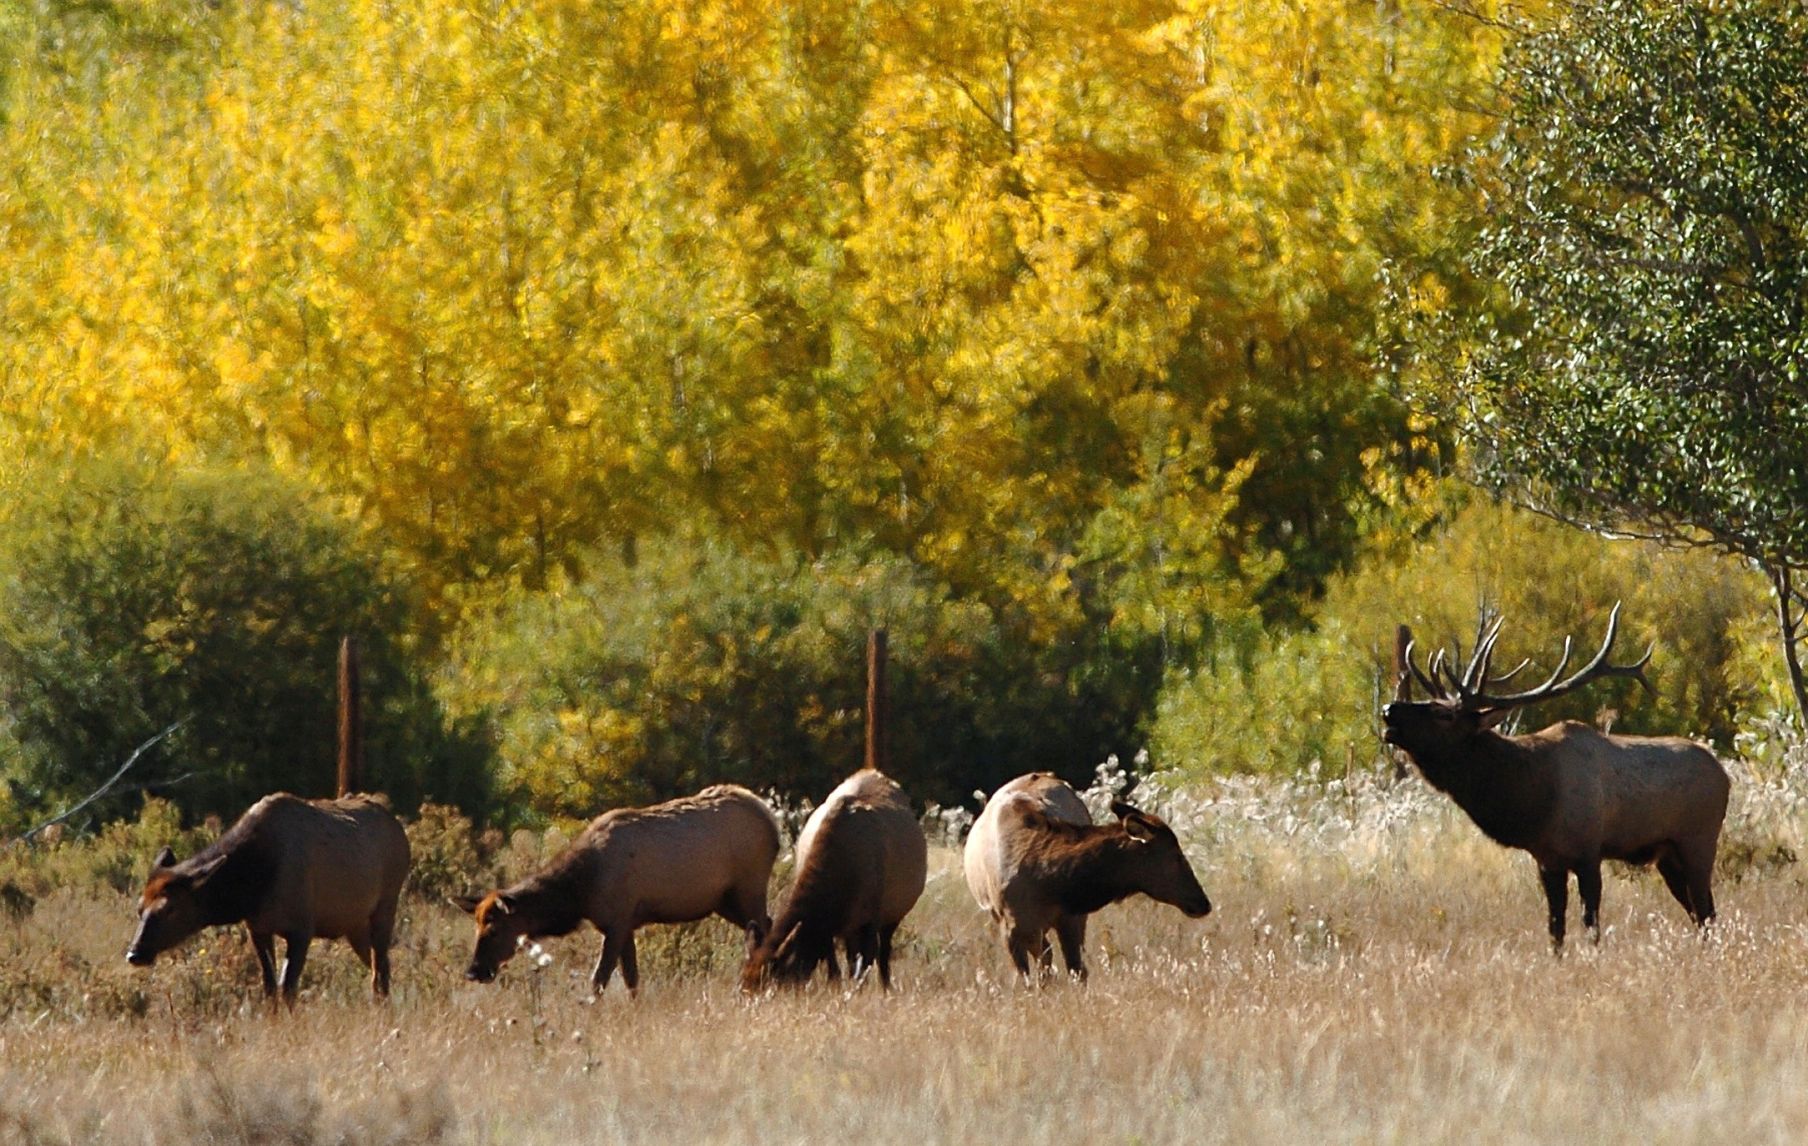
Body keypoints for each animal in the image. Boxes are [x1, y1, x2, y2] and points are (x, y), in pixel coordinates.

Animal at [1382, 603, 1729, 952]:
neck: (1536, 800)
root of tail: (1724, 774)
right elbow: (1555, 929)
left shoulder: (1589, 852)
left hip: (1699, 841)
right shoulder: (1547, 860)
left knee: (1707, 912)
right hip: (1667, 857)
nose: (1388, 709)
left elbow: (1590, 925)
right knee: (1699, 915)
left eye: (1444, 714)